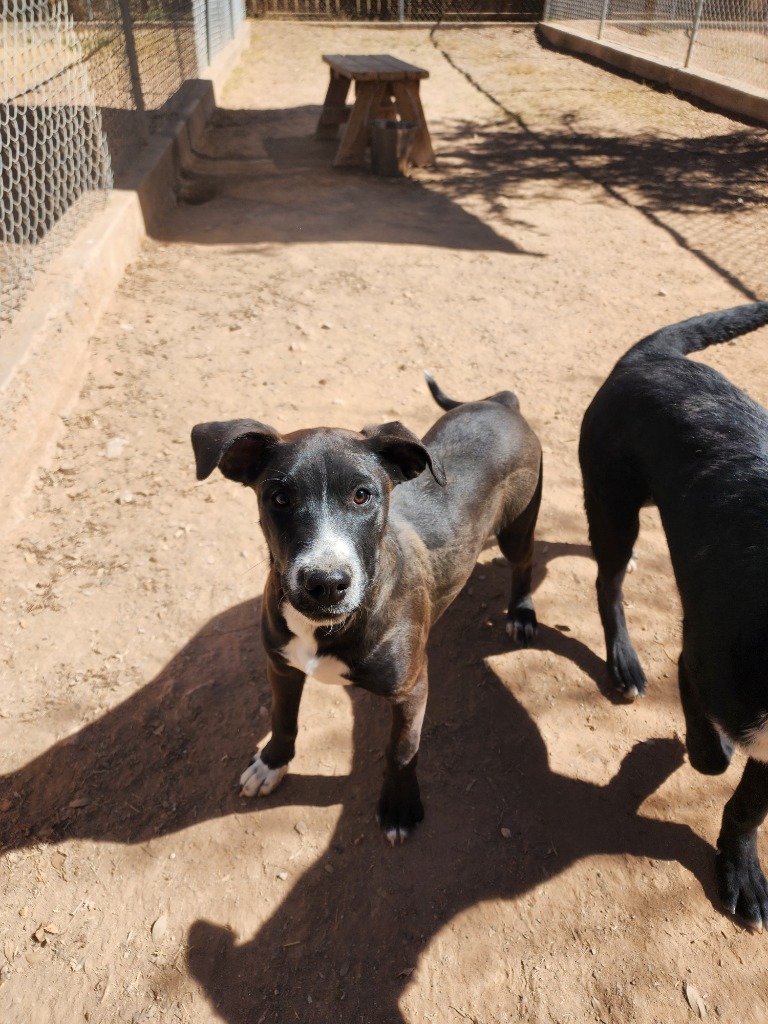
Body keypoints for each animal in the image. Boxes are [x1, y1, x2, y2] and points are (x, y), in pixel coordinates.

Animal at [191, 376, 540, 839]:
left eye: (362, 496)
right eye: (279, 498)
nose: (326, 584)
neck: (329, 628)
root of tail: (500, 403)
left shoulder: (412, 689)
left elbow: (402, 750)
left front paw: (399, 806)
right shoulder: (281, 666)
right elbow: (282, 719)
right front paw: (271, 763)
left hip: (519, 523)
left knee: (523, 564)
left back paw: (521, 614)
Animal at [581, 299, 768, 929]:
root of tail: (651, 355)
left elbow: (749, 806)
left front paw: (740, 872)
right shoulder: (705, 667)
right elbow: (712, 761)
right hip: (615, 510)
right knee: (607, 586)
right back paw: (624, 663)